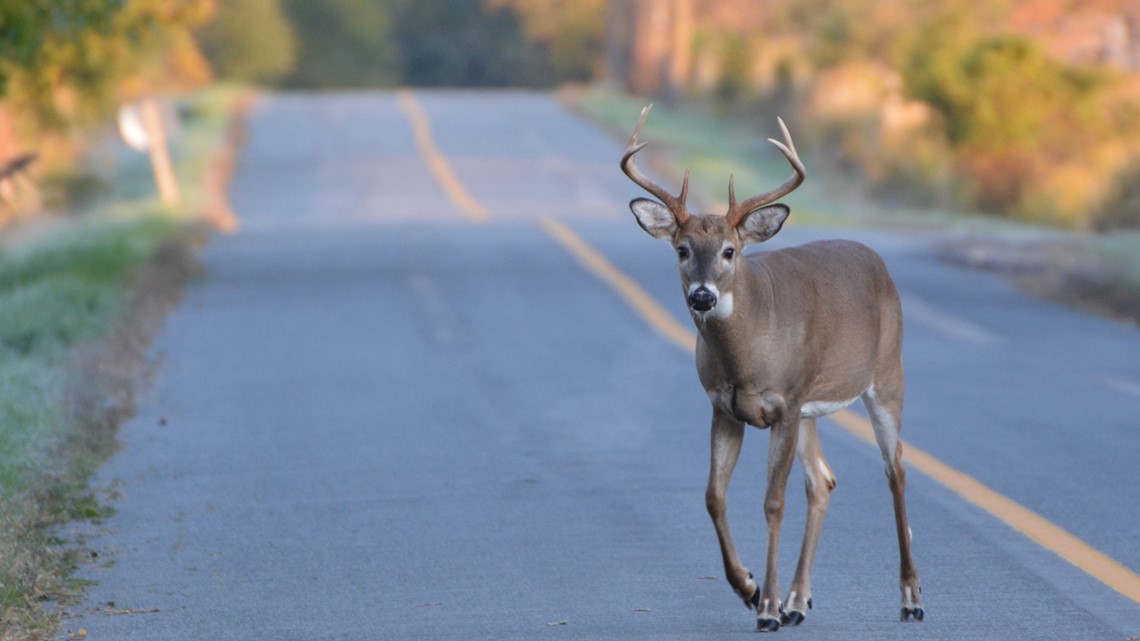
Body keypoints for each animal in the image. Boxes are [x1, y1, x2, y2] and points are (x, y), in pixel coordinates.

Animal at [620, 106, 921, 629]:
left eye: (729, 250)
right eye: (681, 250)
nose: (703, 296)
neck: (747, 356)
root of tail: (875, 260)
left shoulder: (784, 403)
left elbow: (773, 502)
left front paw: (766, 607)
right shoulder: (726, 408)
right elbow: (713, 496)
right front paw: (749, 588)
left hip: (885, 377)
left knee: (895, 470)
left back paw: (910, 598)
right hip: (811, 410)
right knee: (823, 480)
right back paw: (800, 601)